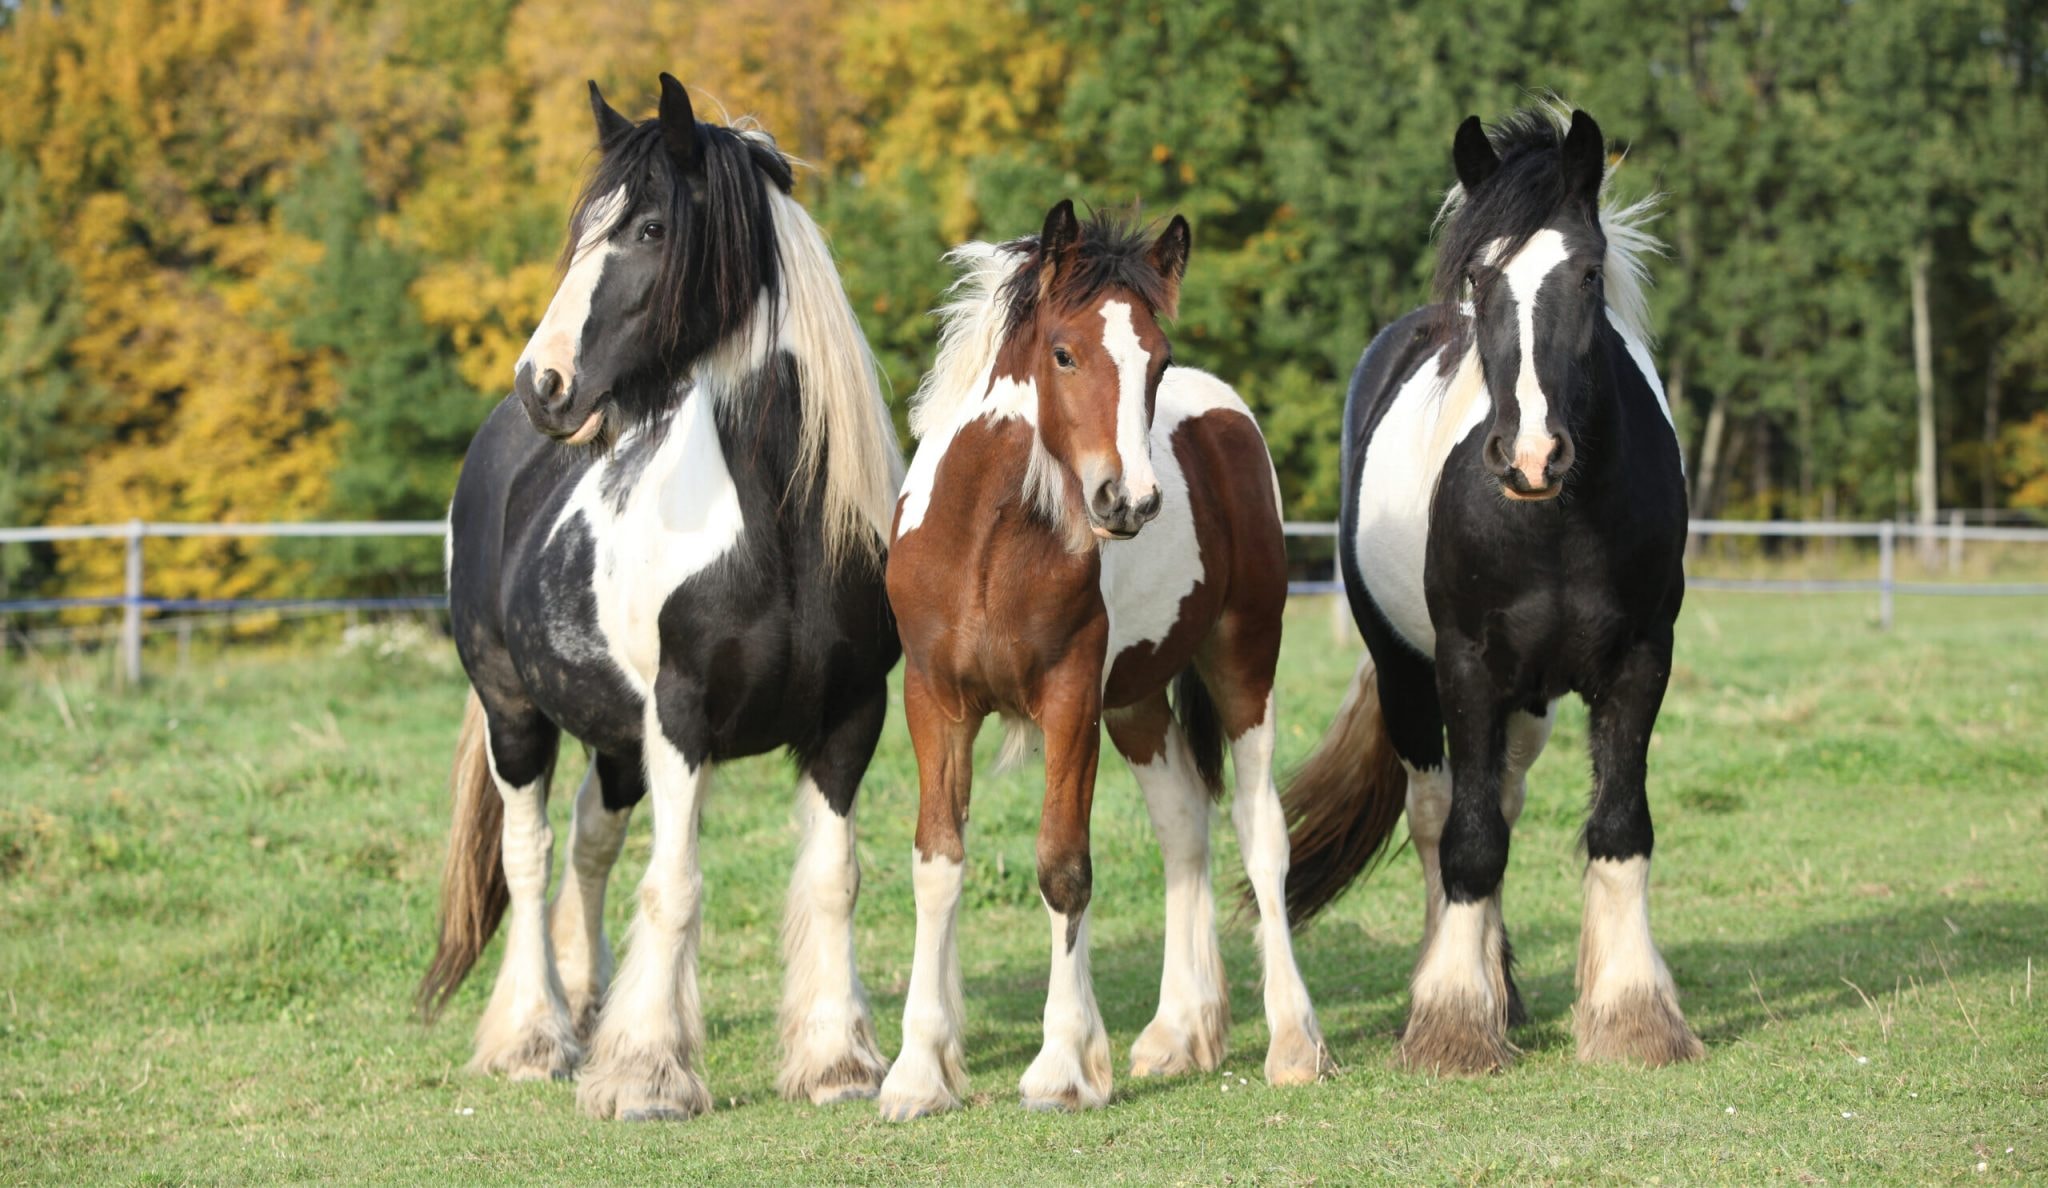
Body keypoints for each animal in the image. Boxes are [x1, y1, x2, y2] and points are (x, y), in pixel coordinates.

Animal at [415, 76, 905, 1122]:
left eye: (647, 227)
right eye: (584, 227)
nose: (544, 381)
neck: (778, 532)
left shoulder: (853, 715)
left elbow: (834, 879)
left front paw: (837, 1061)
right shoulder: (682, 720)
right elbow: (674, 886)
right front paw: (647, 1074)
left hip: (612, 739)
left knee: (589, 846)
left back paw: (585, 1005)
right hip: (516, 717)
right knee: (528, 855)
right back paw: (533, 1036)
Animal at [876, 199, 1327, 1122]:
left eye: (1157, 359)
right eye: (1063, 352)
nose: (1130, 502)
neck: (985, 545)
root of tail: (1229, 414)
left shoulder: (1069, 702)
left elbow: (1063, 868)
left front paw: (1064, 1065)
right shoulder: (935, 703)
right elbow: (938, 863)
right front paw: (918, 1073)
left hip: (1243, 661)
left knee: (1259, 831)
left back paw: (1294, 1041)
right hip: (1139, 703)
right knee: (1183, 824)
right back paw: (1179, 1033)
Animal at [1286, 111, 1703, 1073]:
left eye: (1586, 273)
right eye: (1480, 277)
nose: (1532, 456)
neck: (1556, 526)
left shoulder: (1640, 662)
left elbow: (1619, 826)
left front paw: (1632, 1016)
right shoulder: (1467, 669)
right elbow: (1468, 843)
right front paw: (1452, 1024)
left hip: (1532, 701)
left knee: (1500, 798)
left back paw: (1504, 990)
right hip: (1410, 677)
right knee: (1442, 813)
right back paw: (1463, 990)